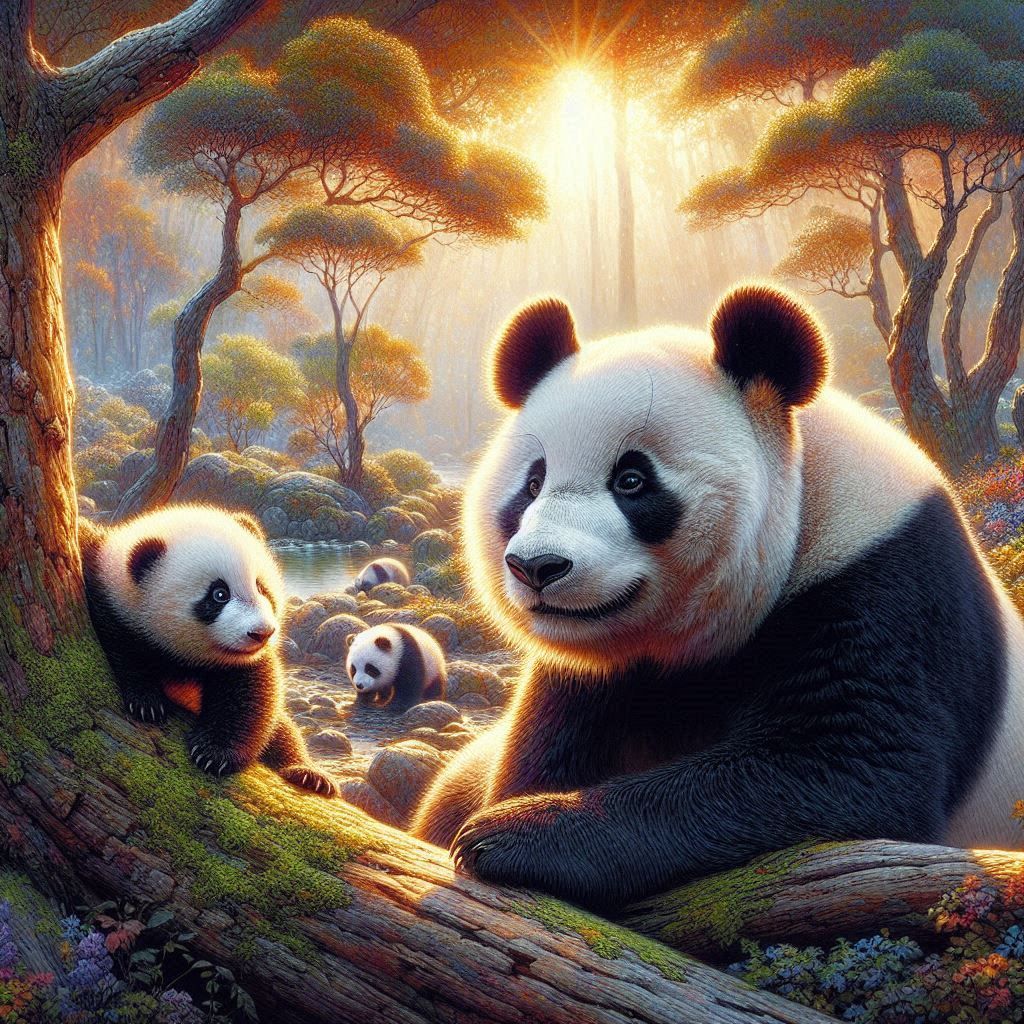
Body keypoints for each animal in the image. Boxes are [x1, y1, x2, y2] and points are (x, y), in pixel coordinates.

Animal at [80, 504, 336, 796]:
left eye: (261, 587)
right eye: (219, 594)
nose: (261, 633)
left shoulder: (244, 662)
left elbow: (252, 696)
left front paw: (215, 754)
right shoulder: (110, 602)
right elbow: (122, 650)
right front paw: (146, 702)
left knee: (283, 732)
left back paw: (308, 774)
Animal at [411, 285, 1024, 912]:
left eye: (631, 480)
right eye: (532, 484)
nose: (537, 566)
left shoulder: (889, 589)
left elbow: (850, 766)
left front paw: (517, 834)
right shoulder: (586, 679)